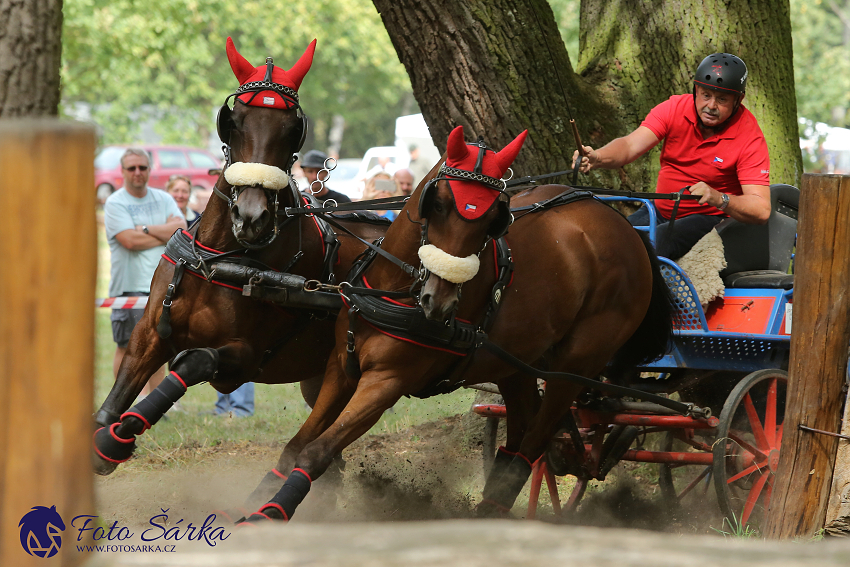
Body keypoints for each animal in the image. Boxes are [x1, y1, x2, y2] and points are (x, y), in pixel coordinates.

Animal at [88, 37, 384, 478]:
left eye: (291, 129)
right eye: (237, 120)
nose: (251, 216)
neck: (218, 259)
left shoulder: (245, 358)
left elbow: (194, 361)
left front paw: (119, 438)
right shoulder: (148, 336)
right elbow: (113, 402)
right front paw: (103, 439)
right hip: (318, 377)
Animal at [235, 125, 672, 524]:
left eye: (493, 217)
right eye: (440, 204)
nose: (439, 301)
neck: (398, 289)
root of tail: (622, 225)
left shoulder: (386, 382)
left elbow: (317, 450)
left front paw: (269, 512)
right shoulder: (341, 368)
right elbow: (297, 444)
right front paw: (250, 503)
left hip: (574, 366)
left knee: (534, 443)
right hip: (516, 362)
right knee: (519, 433)